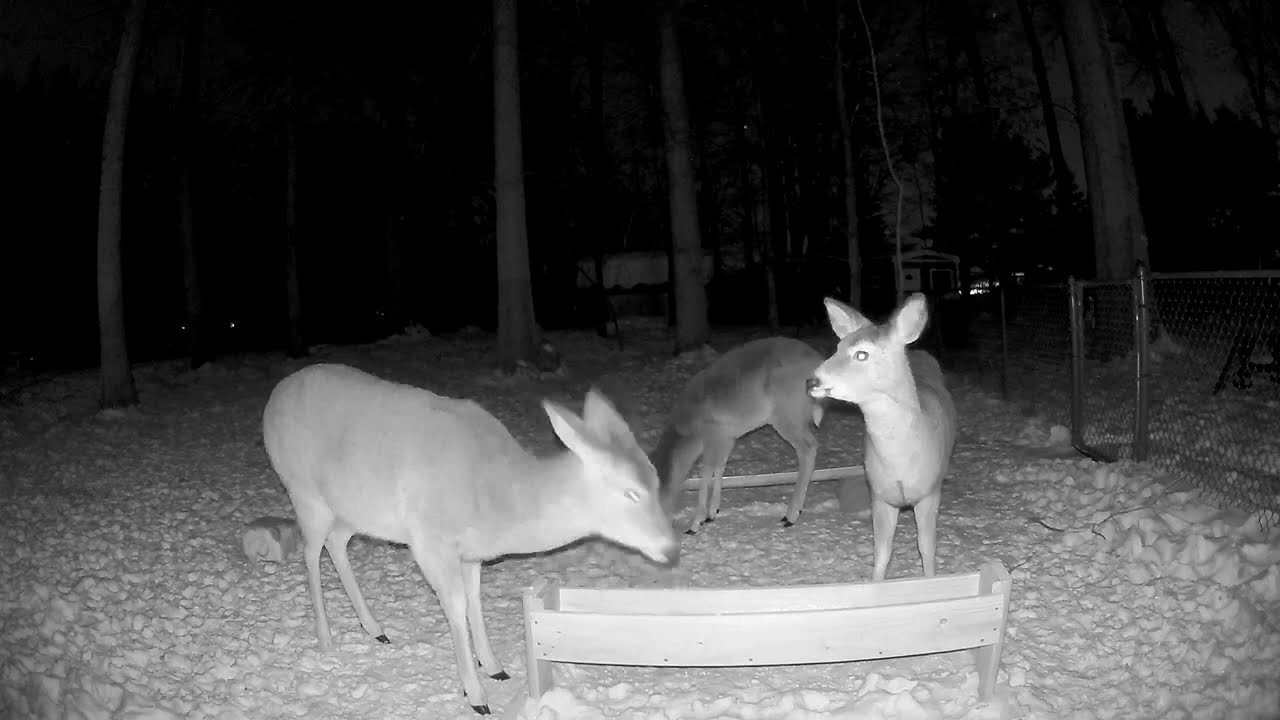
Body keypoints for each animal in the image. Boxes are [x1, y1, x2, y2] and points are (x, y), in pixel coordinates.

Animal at [262, 363, 678, 715]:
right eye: (630, 493)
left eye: (656, 478)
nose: (671, 549)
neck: (495, 501)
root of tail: (274, 397)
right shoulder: (430, 540)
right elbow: (455, 606)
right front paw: (475, 694)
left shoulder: (471, 552)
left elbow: (474, 598)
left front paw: (493, 665)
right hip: (304, 491)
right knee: (310, 551)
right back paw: (326, 638)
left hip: (354, 510)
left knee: (336, 543)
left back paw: (374, 628)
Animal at [650, 337, 826, 534]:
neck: (689, 430)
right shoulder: (727, 438)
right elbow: (719, 467)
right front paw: (712, 513)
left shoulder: (712, 434)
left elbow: (706, 471)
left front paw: (695, 524)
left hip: (787, 414)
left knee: (808, 448)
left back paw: (791, 515)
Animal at [807, 294, 957, 581]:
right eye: (838, 346)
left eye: (862, 354)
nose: (812, 381)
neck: (900, 463)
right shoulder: (879, 494)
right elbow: (882, 551)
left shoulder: (930, 492)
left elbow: (926, 547)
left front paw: (931, 581)